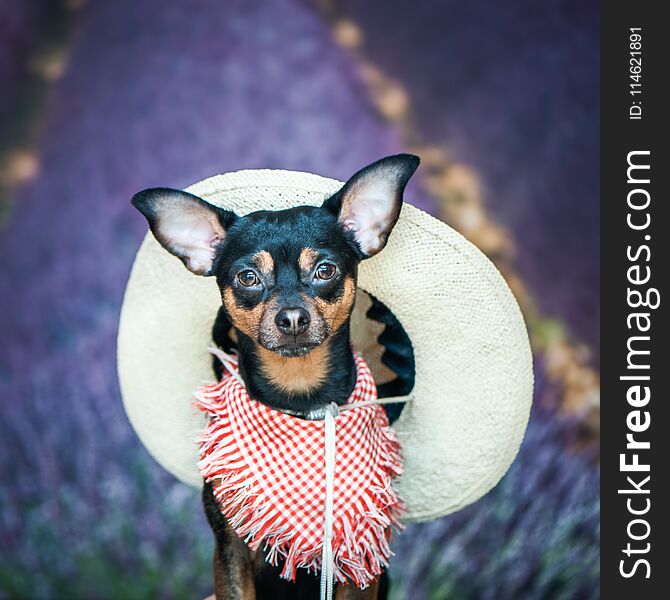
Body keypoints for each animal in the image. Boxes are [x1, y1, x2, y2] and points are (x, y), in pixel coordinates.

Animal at [131, 156, 420, 600]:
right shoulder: (231, 550)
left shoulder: (361, 566)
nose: (293, 318)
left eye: (325, 270)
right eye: (247, 277)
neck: (300, 395)